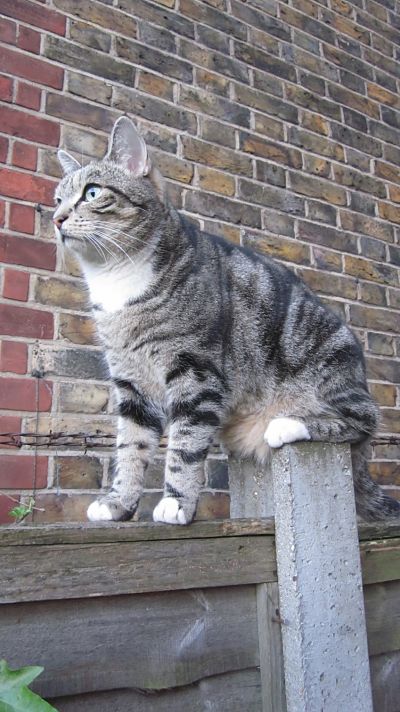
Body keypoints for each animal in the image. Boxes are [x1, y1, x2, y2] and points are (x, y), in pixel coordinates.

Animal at [54, 116, 399, 525]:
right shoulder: (131, 383)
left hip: (329, 361)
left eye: (91, 193)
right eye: (58, 199)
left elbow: (185, 444)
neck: (117, 279)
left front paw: (175, 503)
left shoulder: (196, 372)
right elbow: (130, 447)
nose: (56, 218)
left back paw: (289, 423)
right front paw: (118, 503)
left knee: (364, 422)